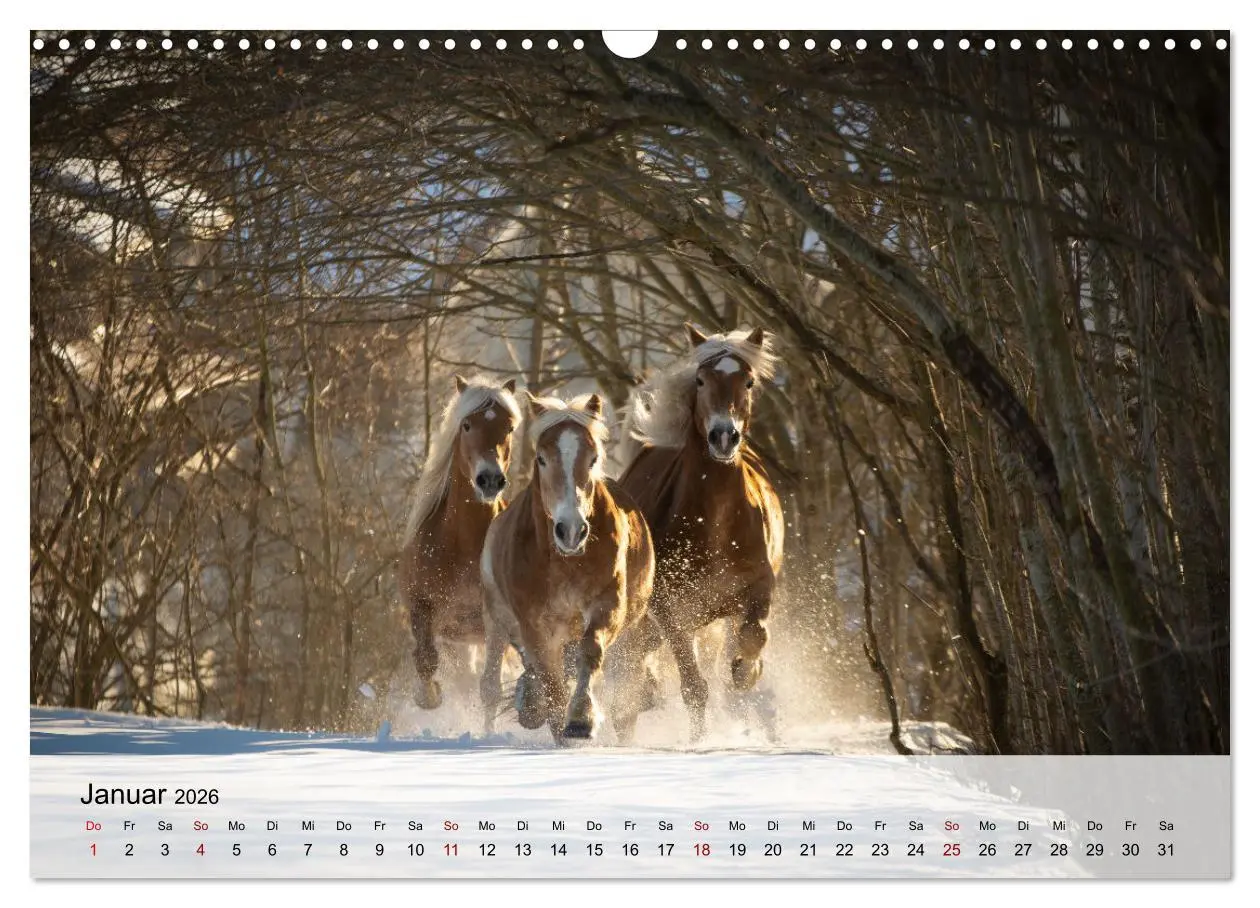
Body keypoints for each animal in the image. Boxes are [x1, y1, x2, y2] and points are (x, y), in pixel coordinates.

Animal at [398, 375, 521, 710]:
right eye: (466, 425)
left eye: (509, 428)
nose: (490, 479)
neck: (463, 544)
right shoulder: (422, 608)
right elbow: (425, 660)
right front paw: (428, 695)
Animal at [479, 393, 657, 743]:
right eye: (541, 459)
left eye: (592, 458)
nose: (571, 530)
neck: (564, 563)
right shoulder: (534, 626)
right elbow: (551, 683)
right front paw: (558, 726)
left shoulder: (607, 605)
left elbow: (589, 653)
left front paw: (580, 720)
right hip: (499, 622)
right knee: (502, 680)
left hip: (629, 633)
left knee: (625, 695)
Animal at [617, 324, 785, 741]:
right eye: (700, 380)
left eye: (749, 381)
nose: (723, 436)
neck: (716, 522)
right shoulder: (668, 607)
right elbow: (693, 686)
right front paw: (698, 743)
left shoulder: (759, 585)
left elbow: (754, 635)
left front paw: (745, 672)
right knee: (636, 663)